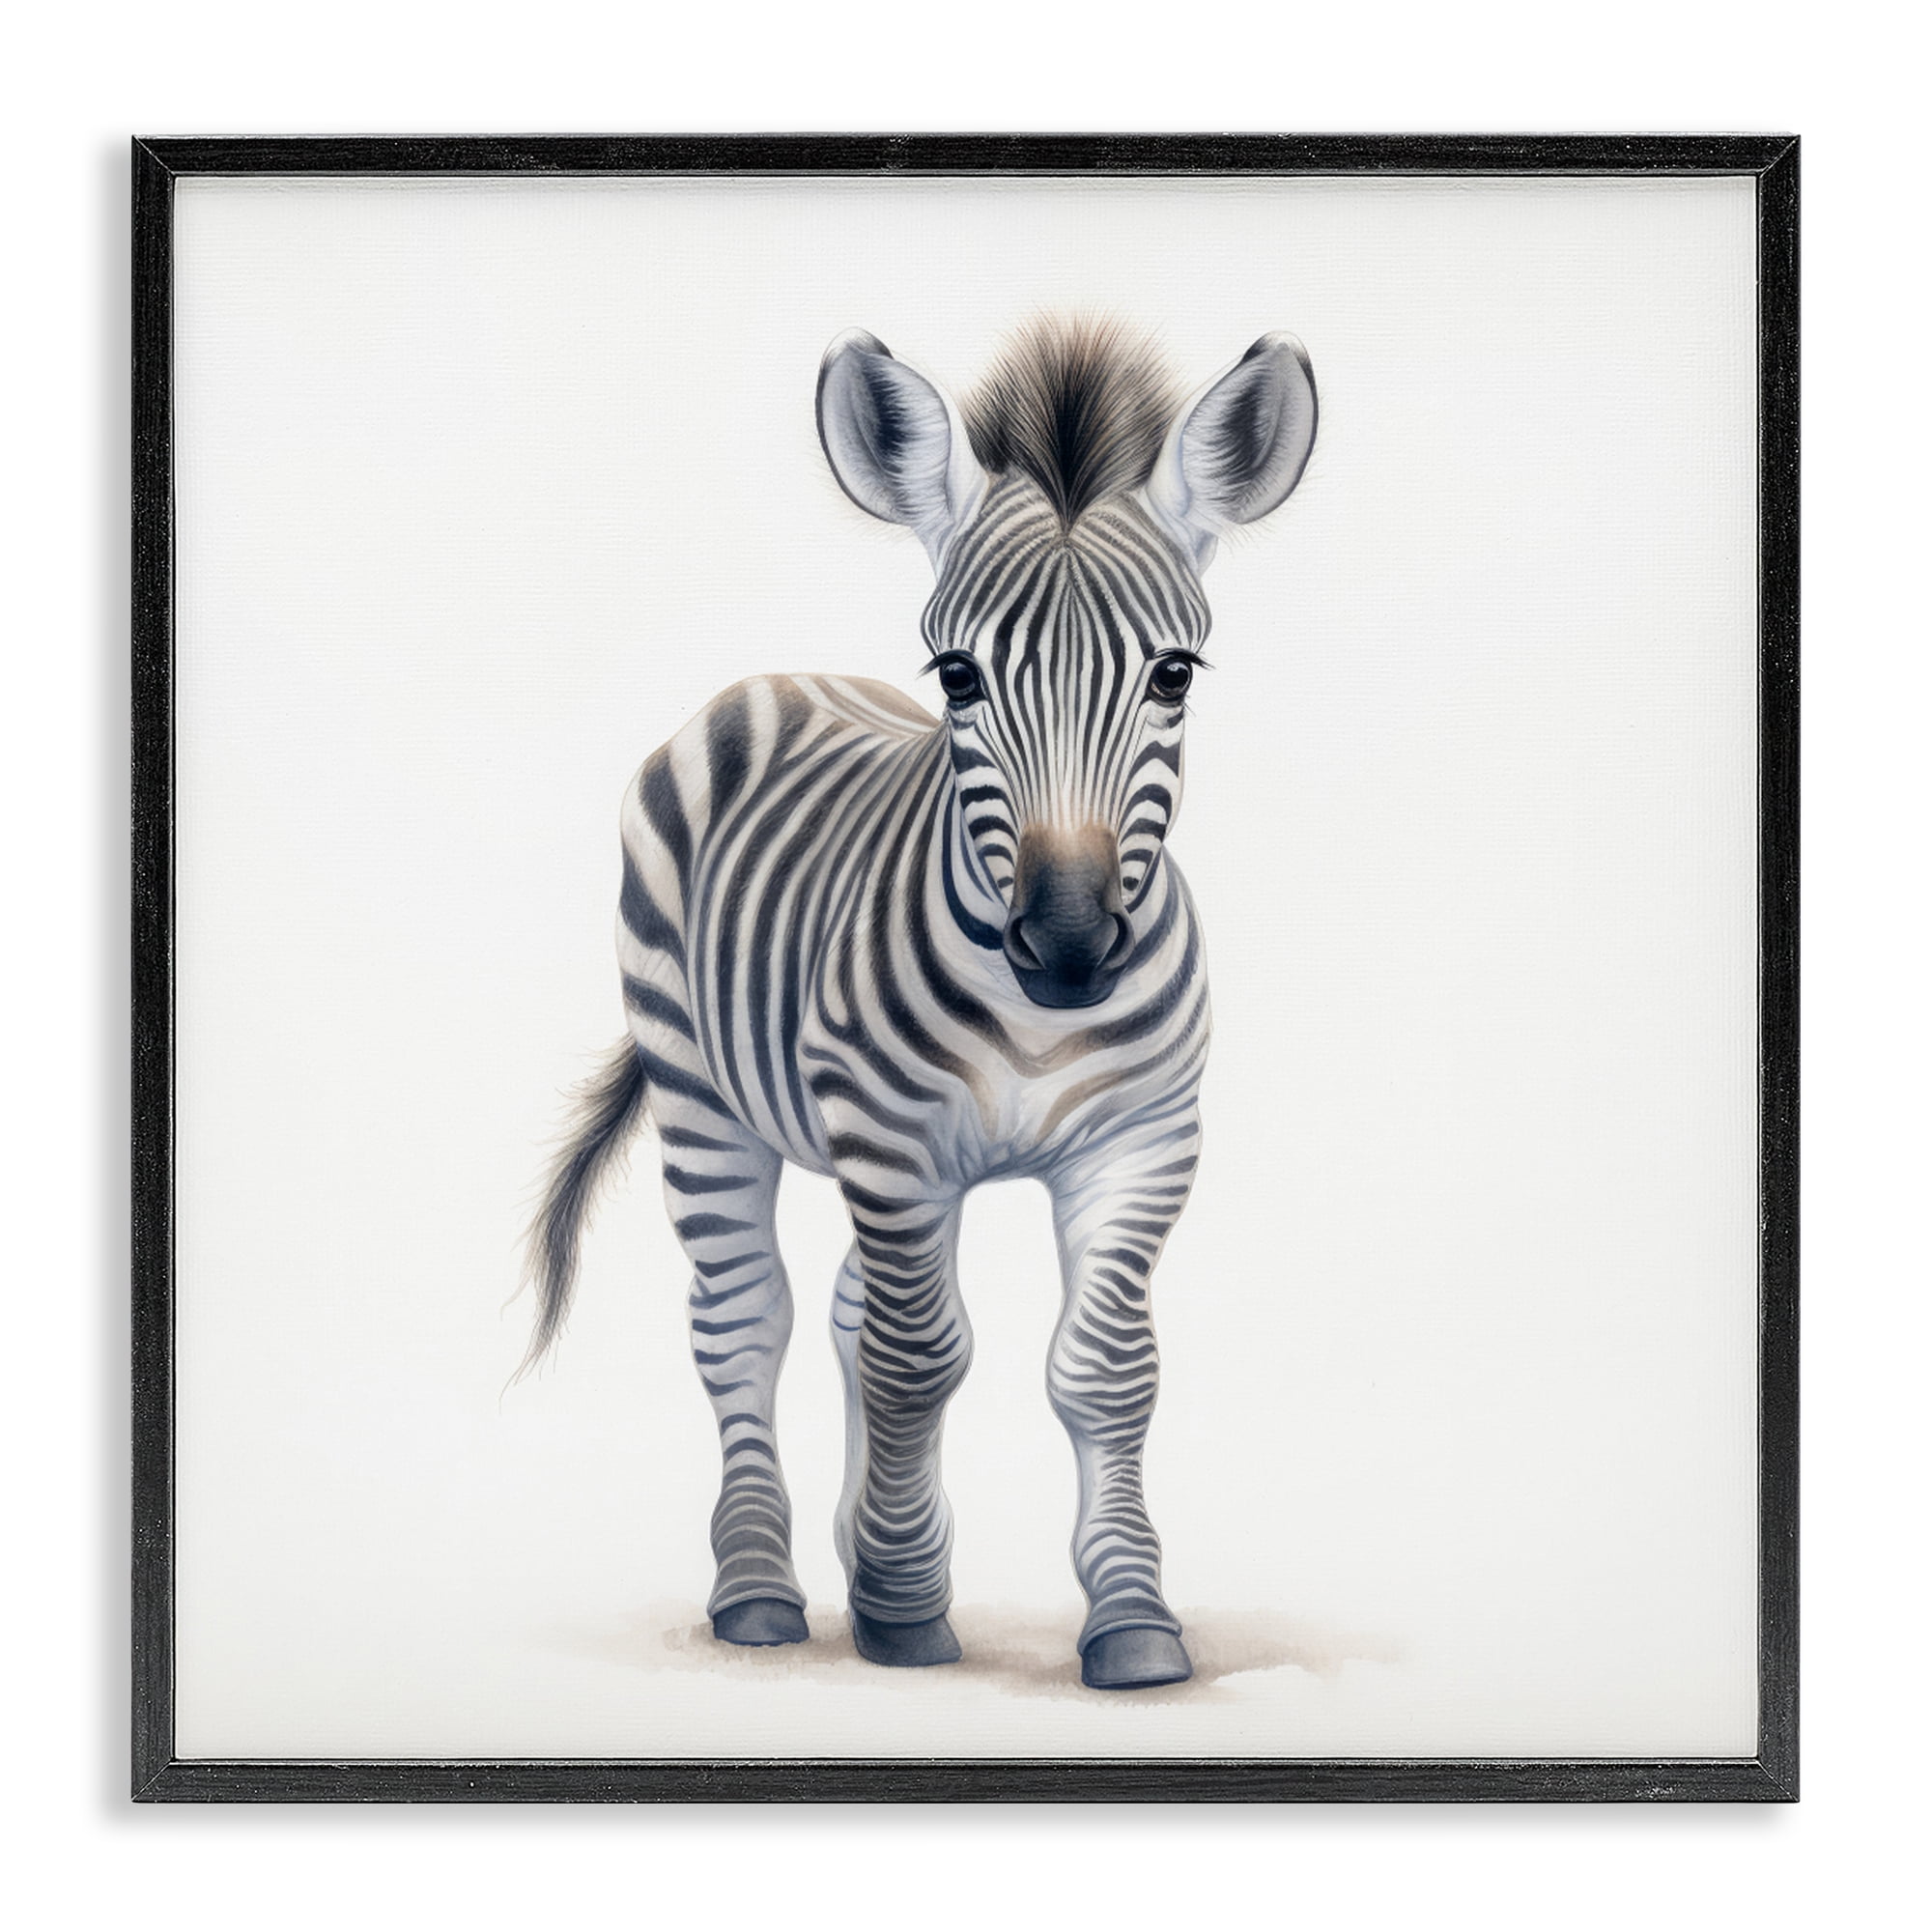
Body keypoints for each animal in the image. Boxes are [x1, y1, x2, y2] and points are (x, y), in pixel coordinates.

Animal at [526, 318, 1317, 1690]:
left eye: (1173, 674)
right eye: (956, 674)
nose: (1066, 947)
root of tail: (777, 677)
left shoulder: (1144, 1141)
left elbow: (1103, 1369)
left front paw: (1129, 1620)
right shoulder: (892, 1137)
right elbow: (918, 1357)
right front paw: (903, 1612)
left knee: (849, 1309)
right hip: (699, 1093)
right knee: (745, 1320)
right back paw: (759, 1588)